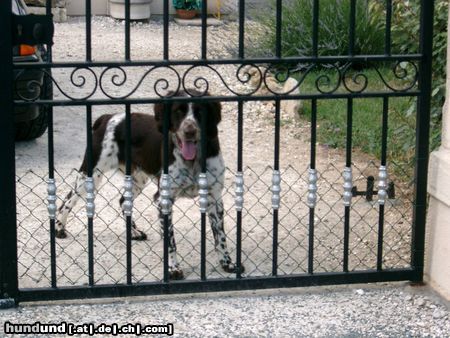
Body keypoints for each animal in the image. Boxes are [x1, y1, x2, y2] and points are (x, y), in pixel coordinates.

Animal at [55, 90, 243, 280]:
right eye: (178, 111)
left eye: (199, 111)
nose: (189, 131)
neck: (192, 160)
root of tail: (107, 117)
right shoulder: (163, 200)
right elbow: (170, 242)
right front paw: (173, 268)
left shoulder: (214, 198)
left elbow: (221, 237)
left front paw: (228, 263)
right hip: (91, 173)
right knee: (67, 200)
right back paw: (59, 228)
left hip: (138, 178)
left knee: (123, 201)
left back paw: (134, 232)